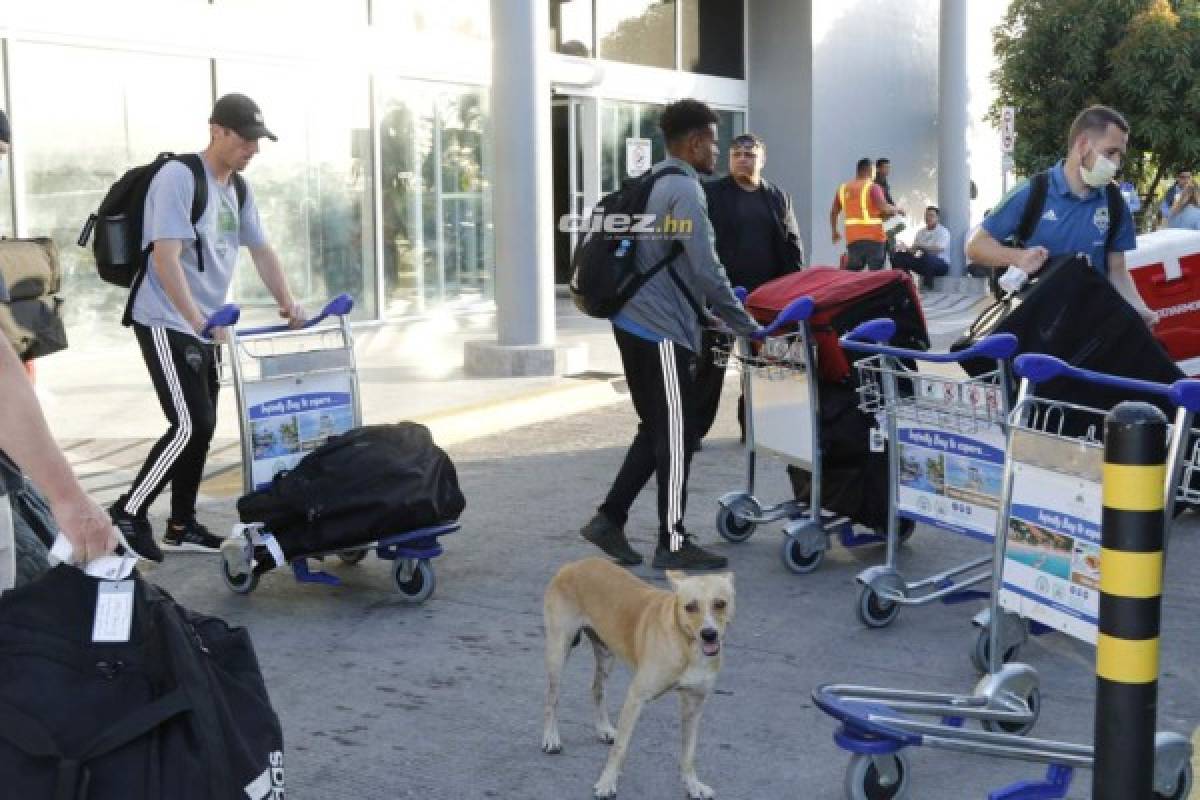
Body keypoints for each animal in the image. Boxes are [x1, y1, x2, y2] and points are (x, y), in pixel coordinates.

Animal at [542, 561, 729, 796]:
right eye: (690, 606)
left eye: (720, 604)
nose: (709, 634)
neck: (686, 645)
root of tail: (573, 564)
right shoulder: (635, 698)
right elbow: (620, 749)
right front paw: (607, 782)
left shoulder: (694, 704)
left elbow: (689, 753)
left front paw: (693, 785)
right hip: (558, 651)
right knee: (552, 698)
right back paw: (551, 738)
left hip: (606, 654)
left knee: (597, 689)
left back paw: (603, 728)